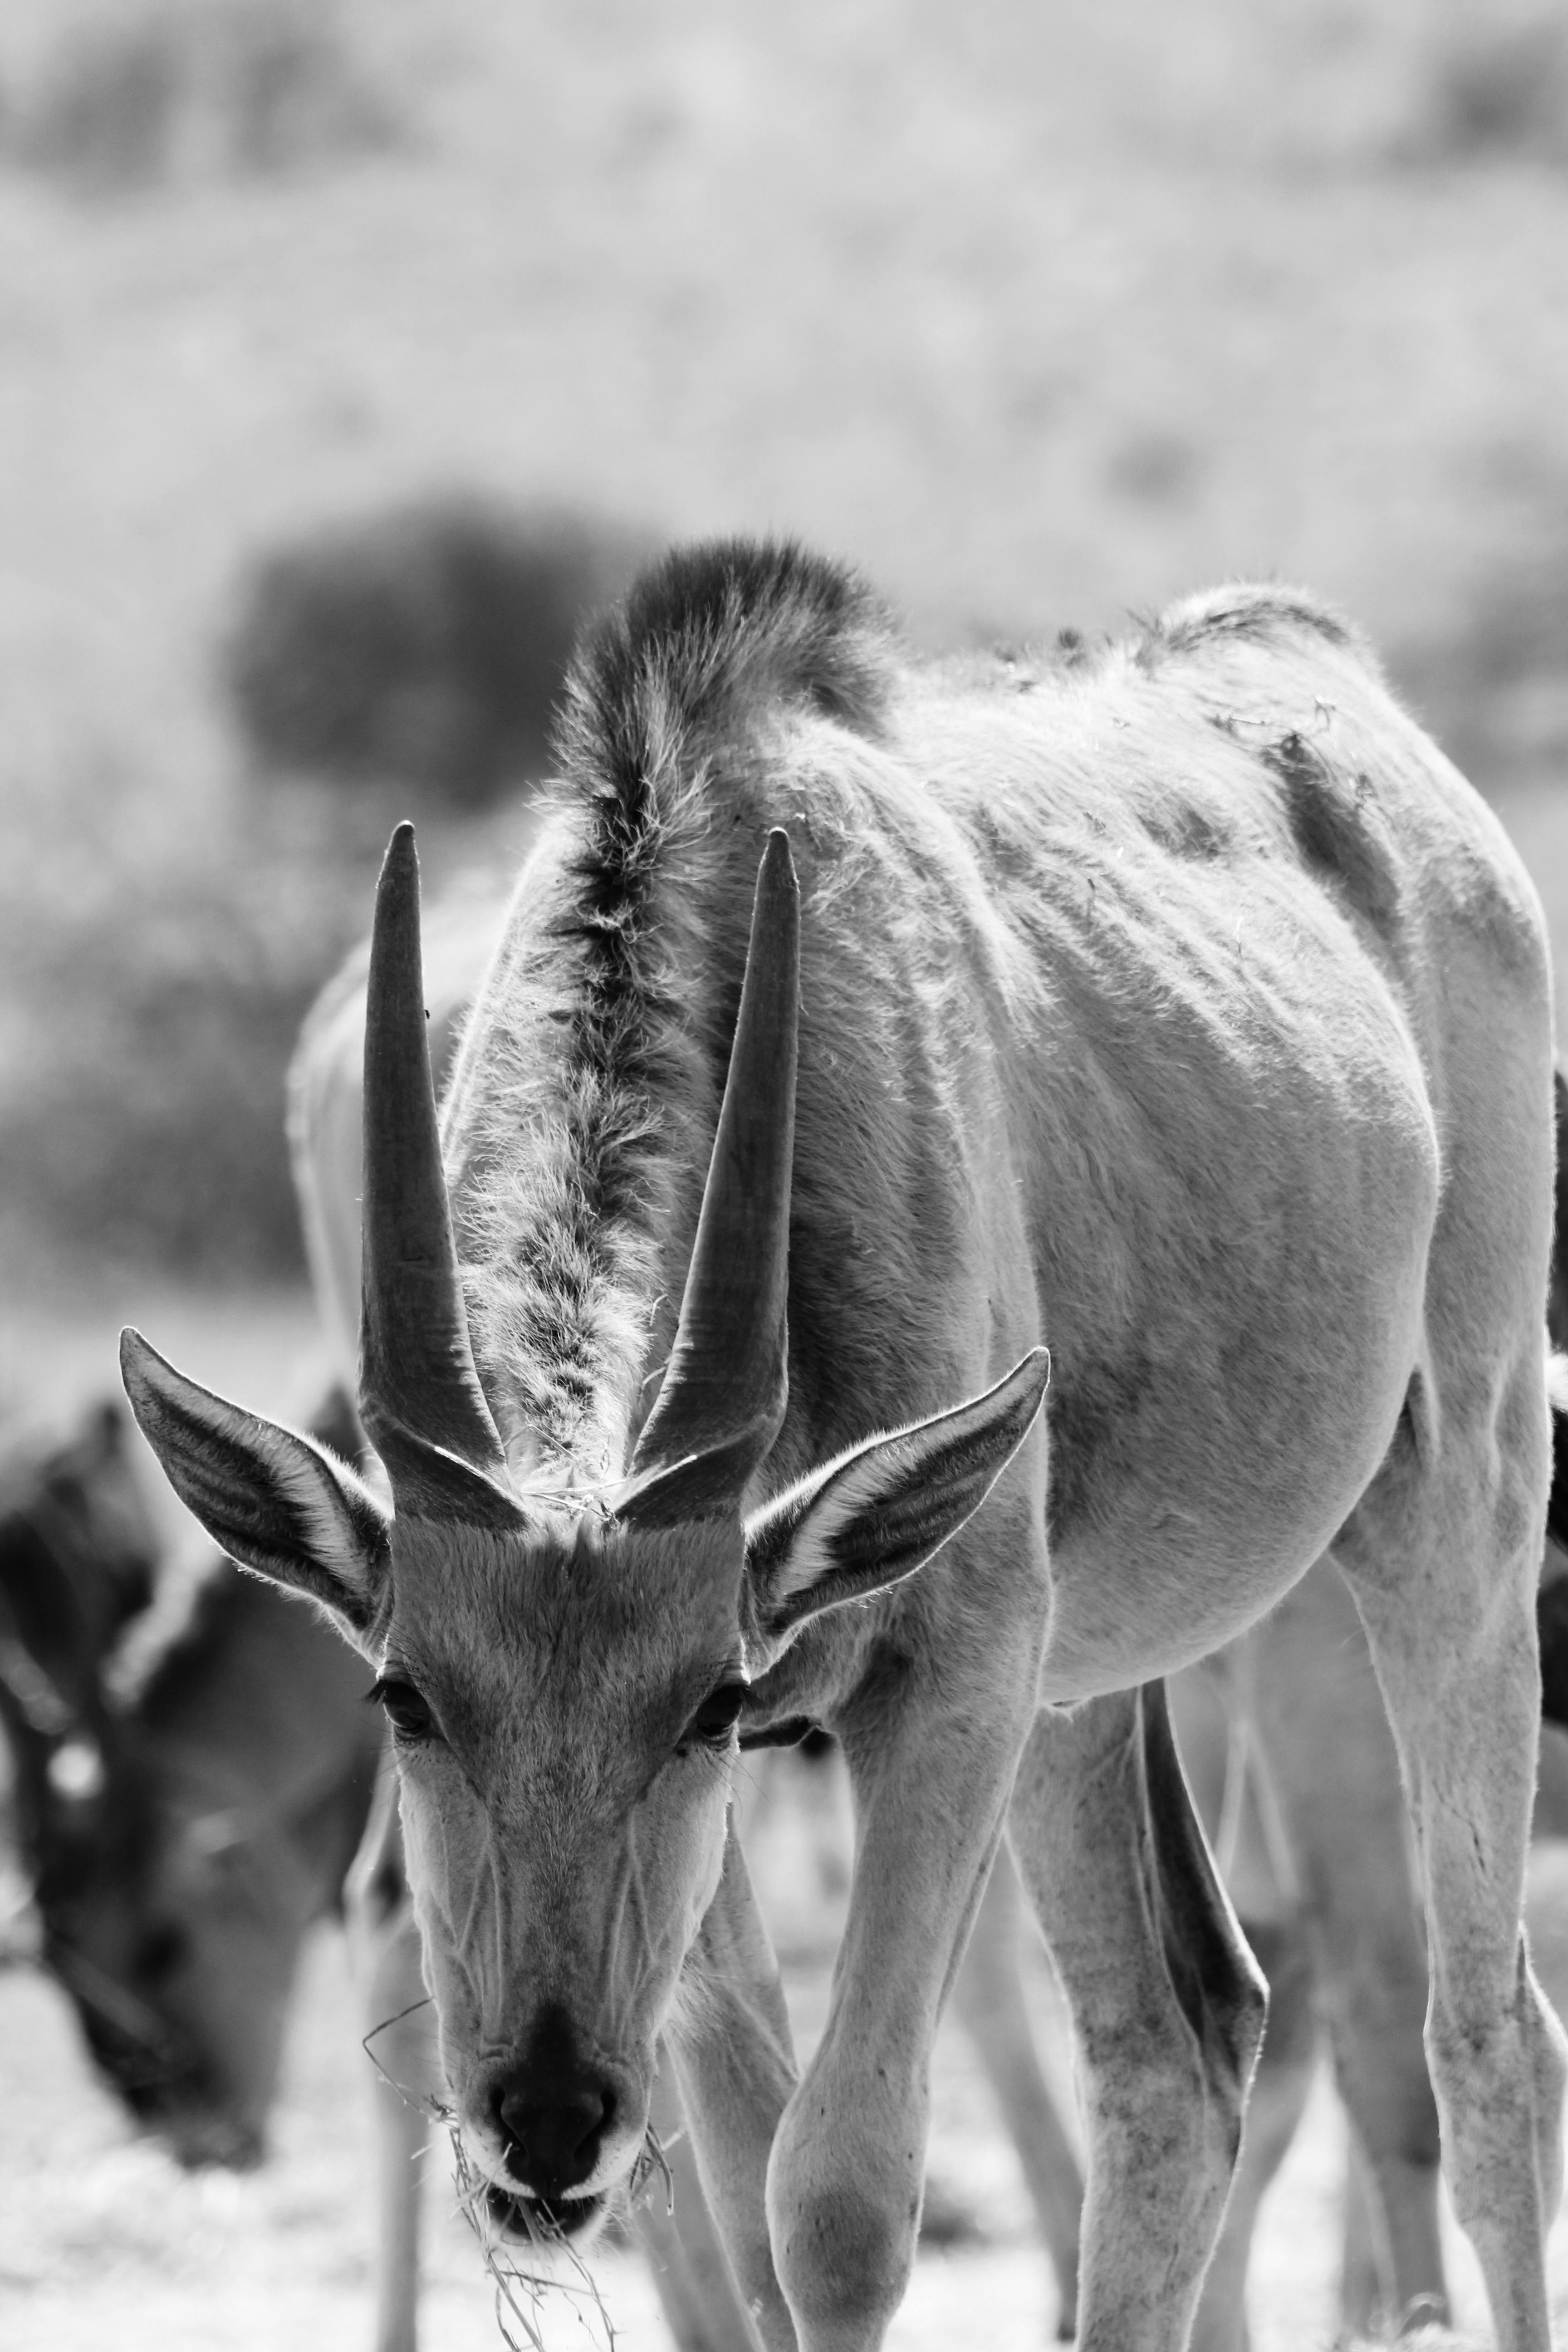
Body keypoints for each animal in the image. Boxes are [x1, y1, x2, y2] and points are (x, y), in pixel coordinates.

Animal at [126, 541, 1568, 2342]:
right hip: (1089, 1688)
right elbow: (744, 2197)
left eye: (704, 1704)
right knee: (1182, 2049)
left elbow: (834, 2203)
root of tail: (1318, 665)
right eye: (405, 1694)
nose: (544, 2125)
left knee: (1482, 2035)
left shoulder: (940, 1684)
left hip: (1446, 1519)